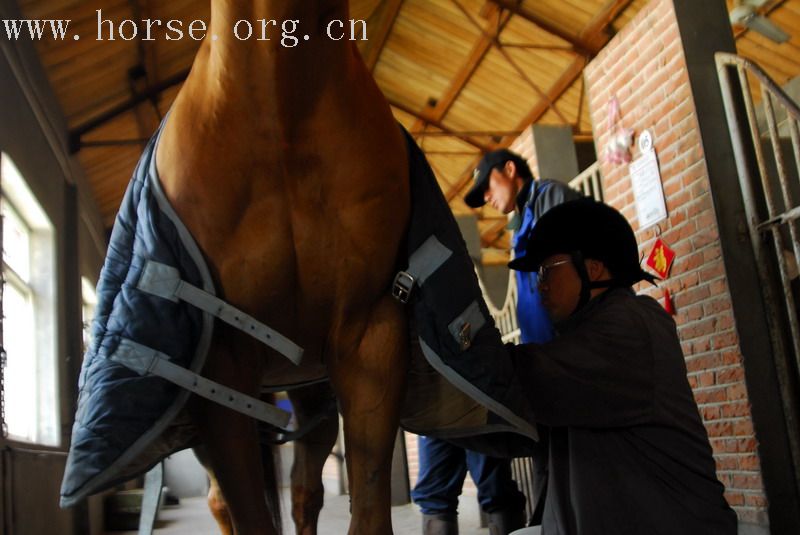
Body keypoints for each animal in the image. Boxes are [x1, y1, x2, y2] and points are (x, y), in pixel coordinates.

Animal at [155, 1, 410, 535]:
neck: (281, 115)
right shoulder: (221, 357)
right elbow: (249, 512)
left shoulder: (370, 332)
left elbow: (370, 506)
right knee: (221, 501)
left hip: (312, 391)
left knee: (304, 492)